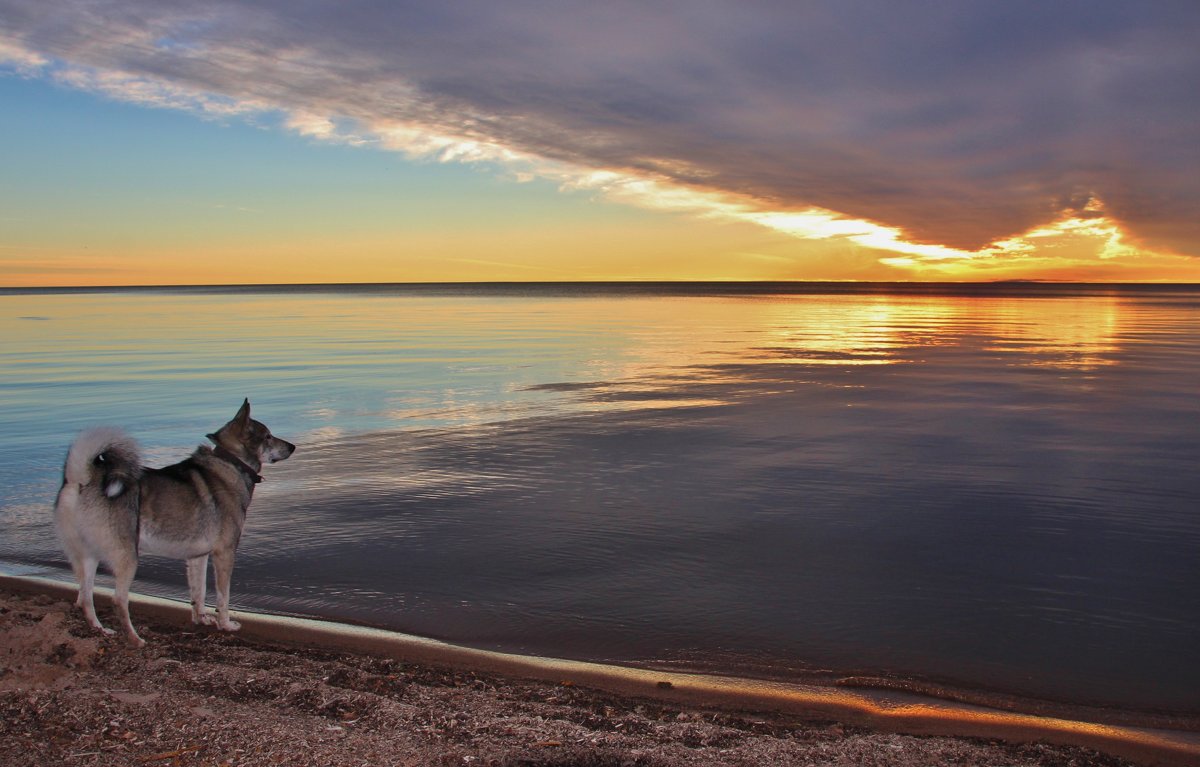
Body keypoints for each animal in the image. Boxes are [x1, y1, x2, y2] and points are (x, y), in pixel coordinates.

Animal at [52, 403, 297, 648]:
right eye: (268, 436)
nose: (292, 447)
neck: (230, 464)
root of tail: (82, 478)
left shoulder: (197, 557)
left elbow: (199, 592)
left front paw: (201, 618)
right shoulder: (224, 553)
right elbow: (223, 597)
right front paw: (225, 624)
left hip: (88, 556)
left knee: (85, 597)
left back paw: (100, 629)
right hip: (127, 556)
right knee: (118, 600)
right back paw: (135, 638)